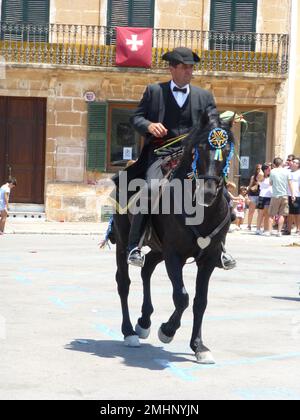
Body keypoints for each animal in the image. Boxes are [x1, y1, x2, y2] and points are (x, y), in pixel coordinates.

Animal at [112, 113, 234, 362]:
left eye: (226, 150)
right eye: (199, 148)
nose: (208, 192)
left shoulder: (208, 259)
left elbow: (200, 301)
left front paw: (199, 346)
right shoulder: (174, 255)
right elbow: (182, 297)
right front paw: (167, 330)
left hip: (158, 249)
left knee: (147, 268)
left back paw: (144, 322)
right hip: (123, 243)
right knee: (124, 283)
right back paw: (130, 332)